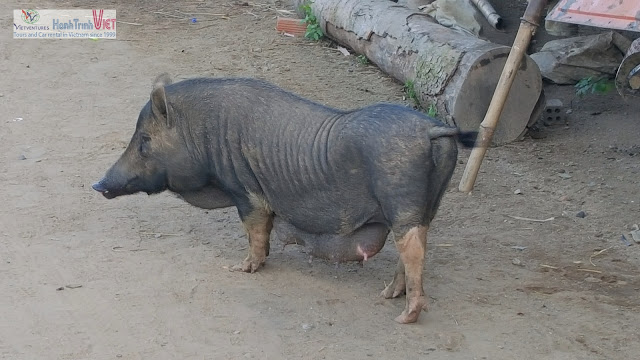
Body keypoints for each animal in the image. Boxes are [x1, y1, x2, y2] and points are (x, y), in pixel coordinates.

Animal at [94, 74, 476, 324]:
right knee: (416, 244)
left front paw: (240, 269)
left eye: (145, 140)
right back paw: (386, 295)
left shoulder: (246, 190)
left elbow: (255, 230)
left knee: (413, 251)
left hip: (402, 199)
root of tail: (432, 128)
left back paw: (403, 317)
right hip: (426, 204)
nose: (98, 185)